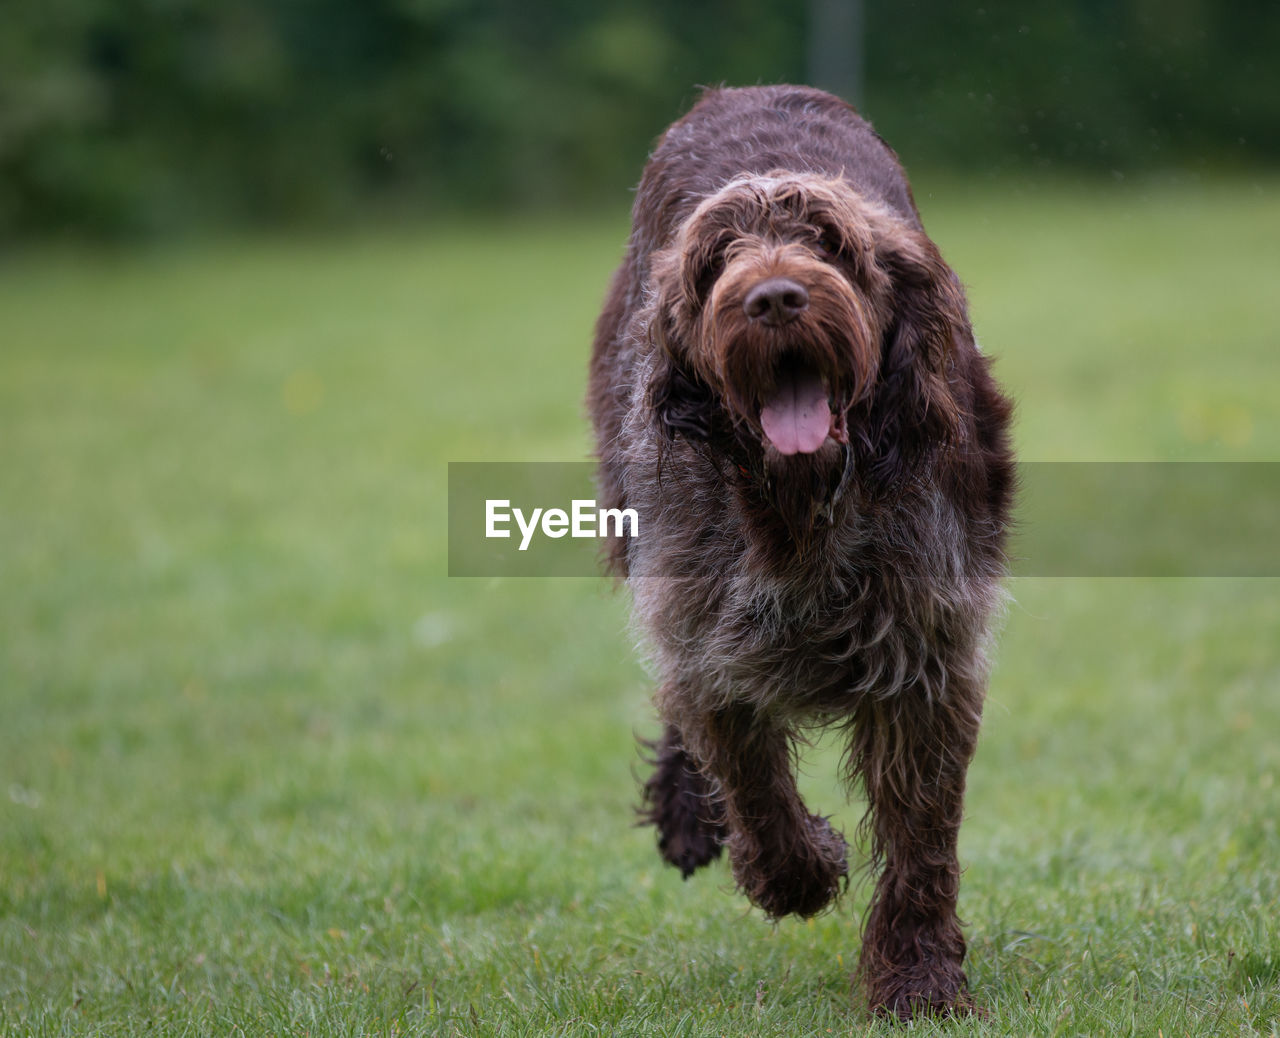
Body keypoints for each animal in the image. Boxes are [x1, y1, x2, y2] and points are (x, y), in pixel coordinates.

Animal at [586, 83, 1013, 1023]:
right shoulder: (708, 632)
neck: (802, 508)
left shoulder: (928, 653)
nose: (776, 297)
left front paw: (918, 977)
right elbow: (745, 771)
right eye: (718, 258)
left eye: (829, 242)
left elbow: (921, 835)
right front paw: (800, 872)